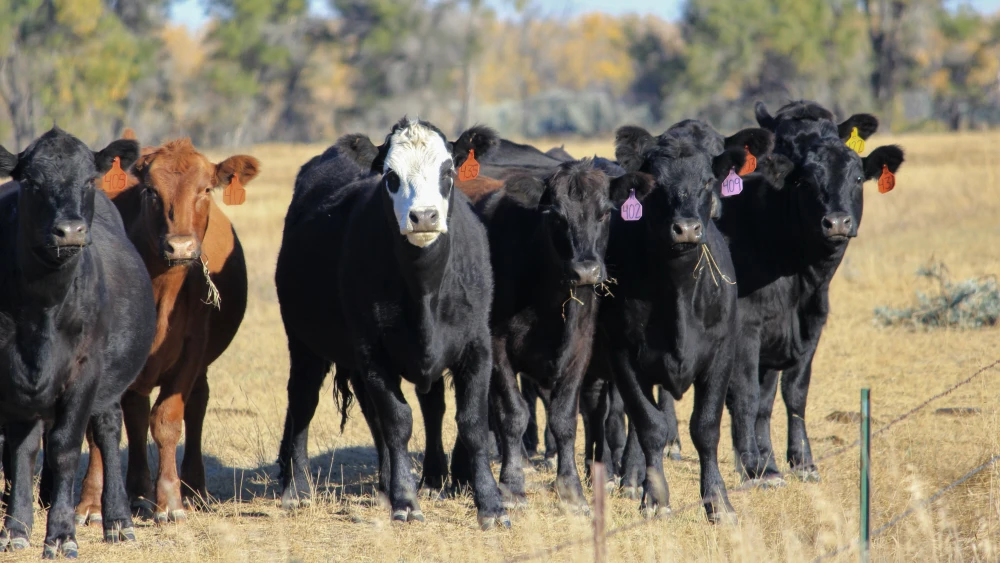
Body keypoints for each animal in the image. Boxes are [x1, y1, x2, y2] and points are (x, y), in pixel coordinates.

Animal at [0, 128, 156, 557]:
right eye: (31, 182)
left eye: (88, 180)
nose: (69, 231)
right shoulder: (12, 377)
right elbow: (20, 450)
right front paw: (15, 529)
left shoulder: (85, 372)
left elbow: (65, 448)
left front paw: (61, 535)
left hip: (109, 382)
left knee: (106, 430)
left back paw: (118, 521)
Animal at [74, 134, 257, 525]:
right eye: (151, 191)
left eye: (206, 189)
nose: (181, 246)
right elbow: (99, 428)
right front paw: (91, 503)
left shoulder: (191, 351)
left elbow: (168, 420)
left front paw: (170, 501)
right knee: (135, 412)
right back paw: (137, 491)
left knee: (194, 405)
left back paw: (193, 489)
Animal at [275, 118, 509, 529]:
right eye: (391, 177)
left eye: (448, 172)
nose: (424, 217)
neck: (425, 290)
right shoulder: (373, 352)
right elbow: (398, 422)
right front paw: (406, 501)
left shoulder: (476, 347)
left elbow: (472, 424)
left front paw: (491, 504)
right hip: (303, 343)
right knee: (303, 401)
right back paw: (298, 488)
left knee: (395, 413)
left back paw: (398, 482)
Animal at [578, 122, 776, 523]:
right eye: (657, 185)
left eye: (707, 181)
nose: (686, 228)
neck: (678, 292)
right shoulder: (623, 354)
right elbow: (650, 425)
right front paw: (655, 498)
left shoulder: (721, 353)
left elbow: (706, 427)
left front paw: (718, 501)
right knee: (598, 413)